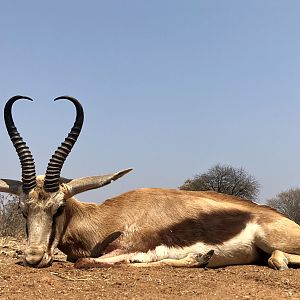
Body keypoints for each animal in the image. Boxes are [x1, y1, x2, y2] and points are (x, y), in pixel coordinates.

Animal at [1, 96, 300, 270]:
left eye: (59, 207)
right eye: (23, 210)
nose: (34, 257)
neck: (107, 219)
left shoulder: (133, 250)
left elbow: (88, 262)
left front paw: (200, 257)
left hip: (272, 240)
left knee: (278, 256)